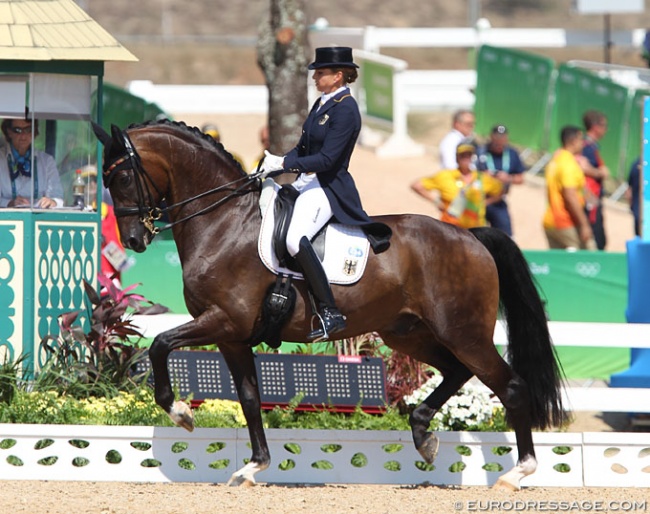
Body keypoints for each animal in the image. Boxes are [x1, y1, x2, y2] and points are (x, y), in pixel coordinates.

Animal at [93, 119, 564, 488]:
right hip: (409, 333)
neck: (222, 223)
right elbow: (249, 397)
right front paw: (252, 467)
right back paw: (423, 435)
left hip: (463, 332)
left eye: (122, 178)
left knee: (510, 385)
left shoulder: (223, 321)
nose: (133, 240)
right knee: (455, 372)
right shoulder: (232, 337)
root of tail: (470, 235)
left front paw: (180, 414)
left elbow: (160, 345)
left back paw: (517, 472)